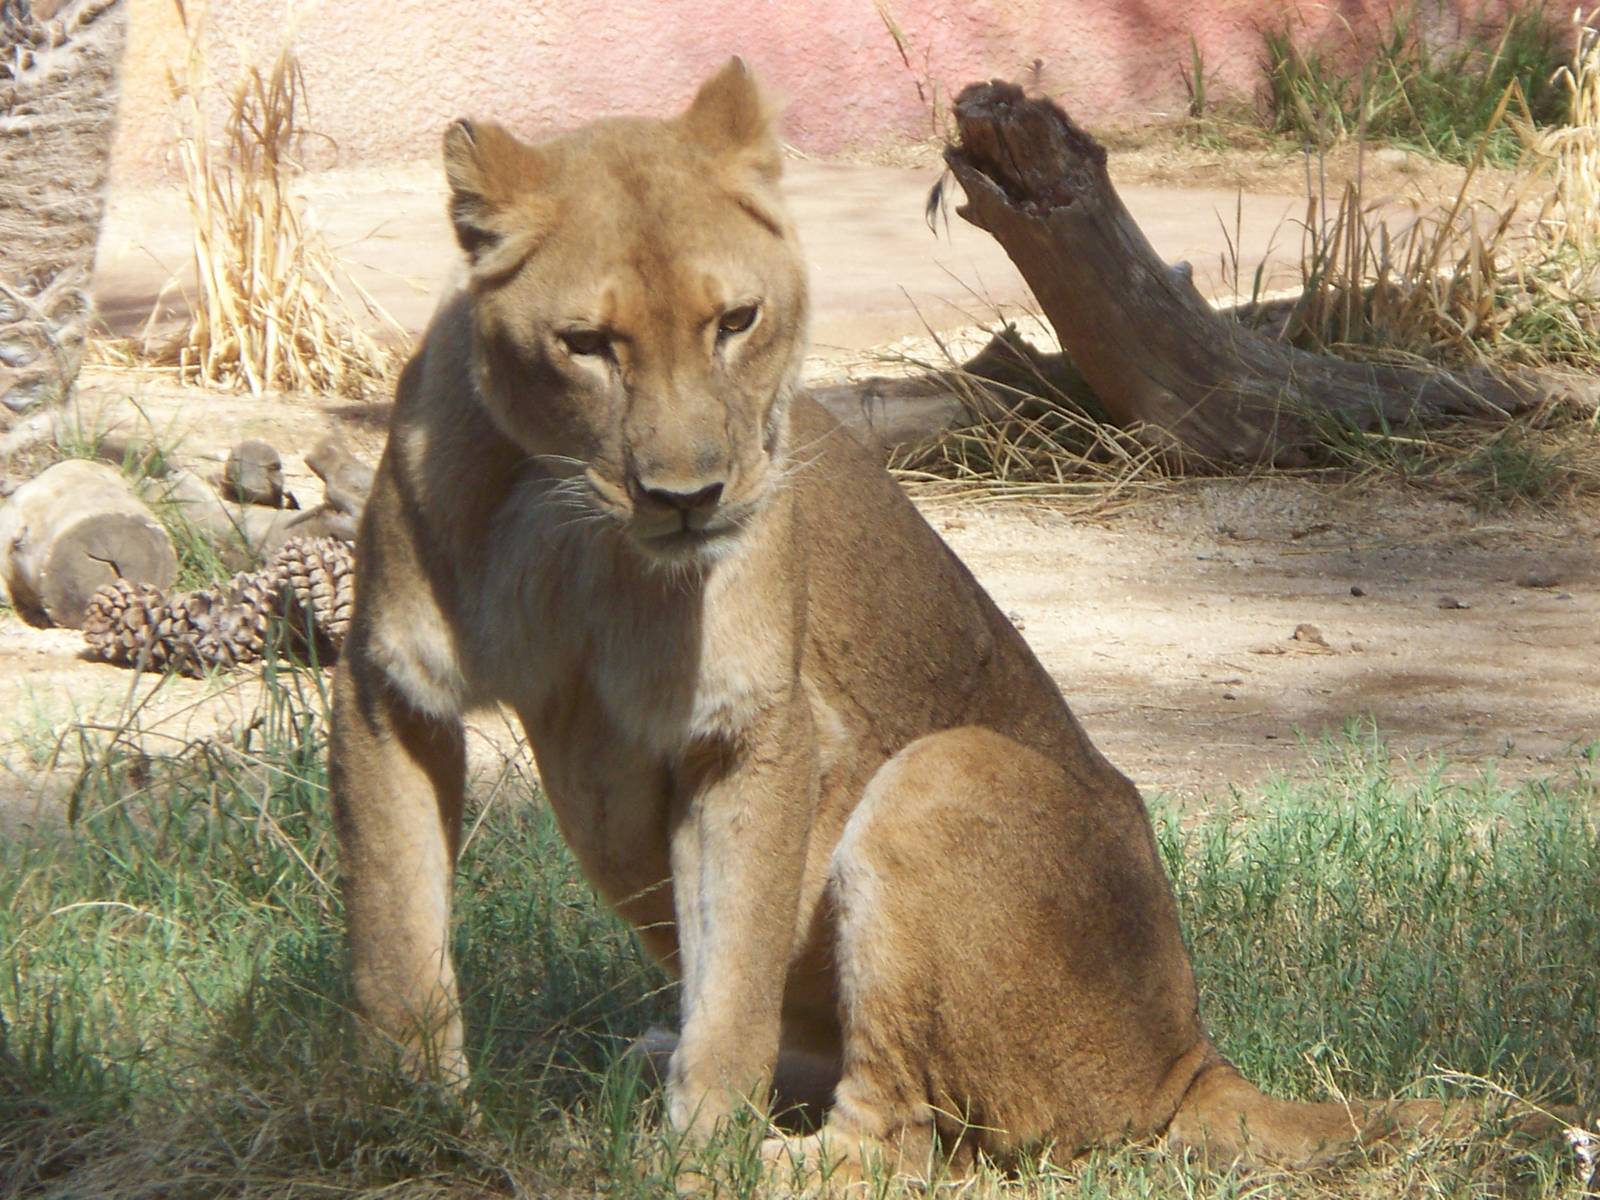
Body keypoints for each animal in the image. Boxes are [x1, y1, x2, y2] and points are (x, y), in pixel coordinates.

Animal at [329, 59, 1554, 1182]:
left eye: (736, 322)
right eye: (587, 344)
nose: (687, 497)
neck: (575, 530)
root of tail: (1189, 1055)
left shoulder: (754, 727)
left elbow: (733, 985)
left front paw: (695, 1153)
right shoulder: (393, 690)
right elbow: (395, 942)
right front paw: (409, 1128)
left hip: (944, 771)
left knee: (903, 1139)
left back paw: (738, 1152)